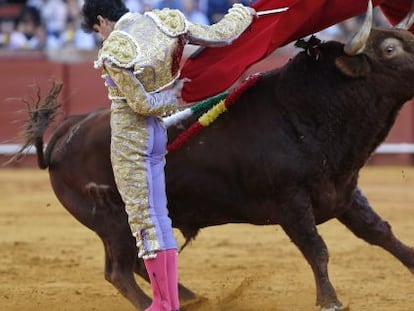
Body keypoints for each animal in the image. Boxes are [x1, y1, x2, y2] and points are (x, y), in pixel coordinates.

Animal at [8, 1, 414, 310]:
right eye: (389, 50)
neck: (306, 110)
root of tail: (67, 129)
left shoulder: (344, 190)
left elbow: (379, 232)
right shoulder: (291, 203)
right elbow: (317, 250)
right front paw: (329, 300)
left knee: (141, 260)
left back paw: (189, 297)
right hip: (113, 220)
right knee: (120, 271)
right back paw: (158, 304)